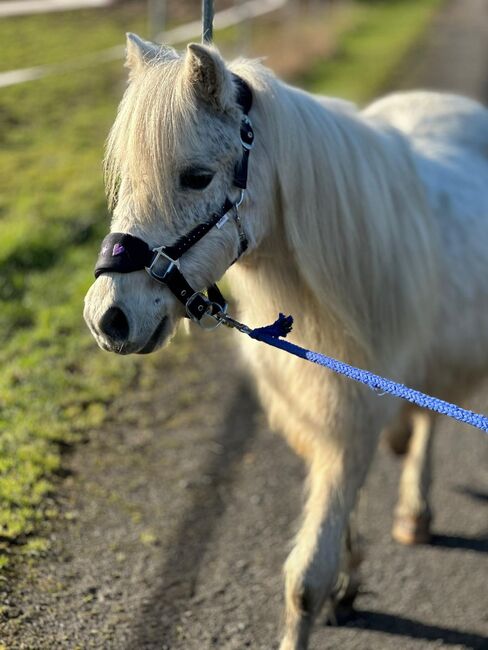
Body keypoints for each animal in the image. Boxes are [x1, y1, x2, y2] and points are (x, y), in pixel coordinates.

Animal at [84, 35, 488, 648]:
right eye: (126, 176)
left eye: (196, 177)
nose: (107, 318)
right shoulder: (320, 414)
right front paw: (349, 579)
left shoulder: (352, 422)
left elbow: (303, 582)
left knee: (429, 421)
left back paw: (415, 511)